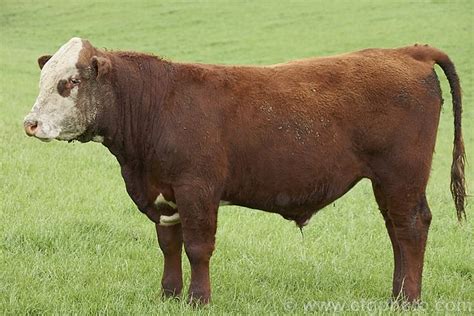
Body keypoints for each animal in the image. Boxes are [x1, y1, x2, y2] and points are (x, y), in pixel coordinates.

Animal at [24, 38, 464, 304]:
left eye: (70, 82)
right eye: (44, 78)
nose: (30, 123)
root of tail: (406, 51)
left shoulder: (197, 188)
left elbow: (197, 247)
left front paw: (198, 299)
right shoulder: (164, 194)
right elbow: (169, 244)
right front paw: (169, 294)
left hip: (402, 175)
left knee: (411, 227)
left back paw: (409, 299)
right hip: (387, 181)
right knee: (396, 230)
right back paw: (396, 295)